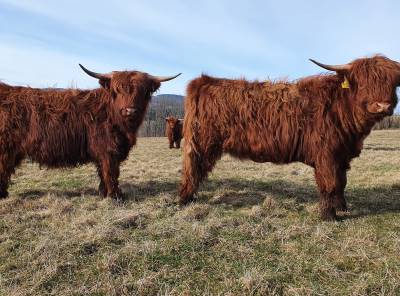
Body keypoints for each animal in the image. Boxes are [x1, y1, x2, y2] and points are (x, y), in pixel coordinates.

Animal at [0, 64, 180, 199]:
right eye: (118, 90)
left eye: (143, 92)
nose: (130, 110)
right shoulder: (108, 150)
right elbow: (111, 171)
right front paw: (115, 195)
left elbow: (103, 172)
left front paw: (104, 193)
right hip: (6, 148)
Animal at [180, 56, 398, 221]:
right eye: (363, 82)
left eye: (393, 84)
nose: (383, 106)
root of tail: (204, 81)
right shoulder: (326, 156)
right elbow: (329, 184)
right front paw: (329, 216)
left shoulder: (342, 156)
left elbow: (342, 183)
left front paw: (342, 208)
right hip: (201, 143)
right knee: (193, 169)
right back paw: (185, 200)